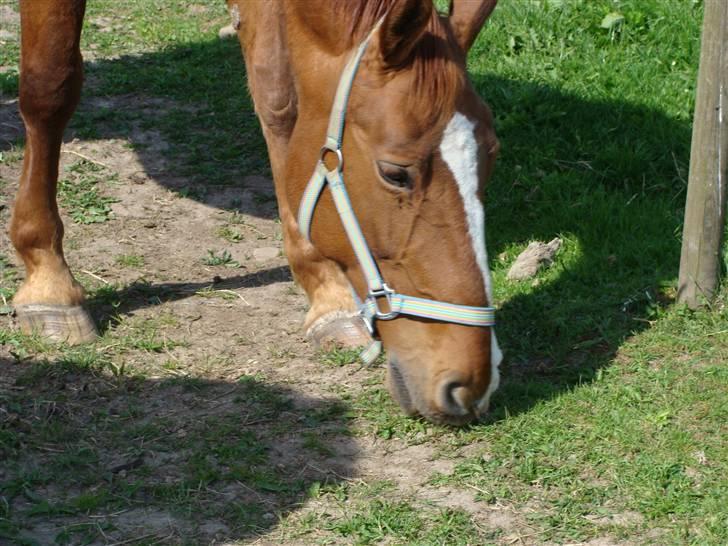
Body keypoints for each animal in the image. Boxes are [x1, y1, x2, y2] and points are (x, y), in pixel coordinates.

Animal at [9, 0, 500, 422]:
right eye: (395, 173)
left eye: (492, 153)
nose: (471, 383)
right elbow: (49, 83)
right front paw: (48, 282)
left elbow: (278, 97)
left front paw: (326, 293)